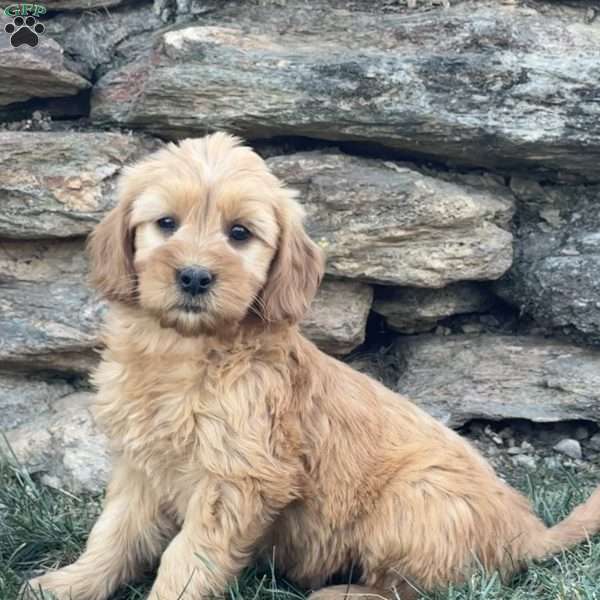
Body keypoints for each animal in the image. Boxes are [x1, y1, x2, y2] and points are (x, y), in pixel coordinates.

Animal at [28, 132, 600, 600]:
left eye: (240, 233)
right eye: (166, 224)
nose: (193, 276)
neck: (185, 353)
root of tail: (527, 533)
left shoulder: (236, 477)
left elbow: (187, 558)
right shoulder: (140, 465)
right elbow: (113, 533)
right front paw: (70, 584)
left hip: (415, 496)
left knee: (417, 587)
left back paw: (342, 594)